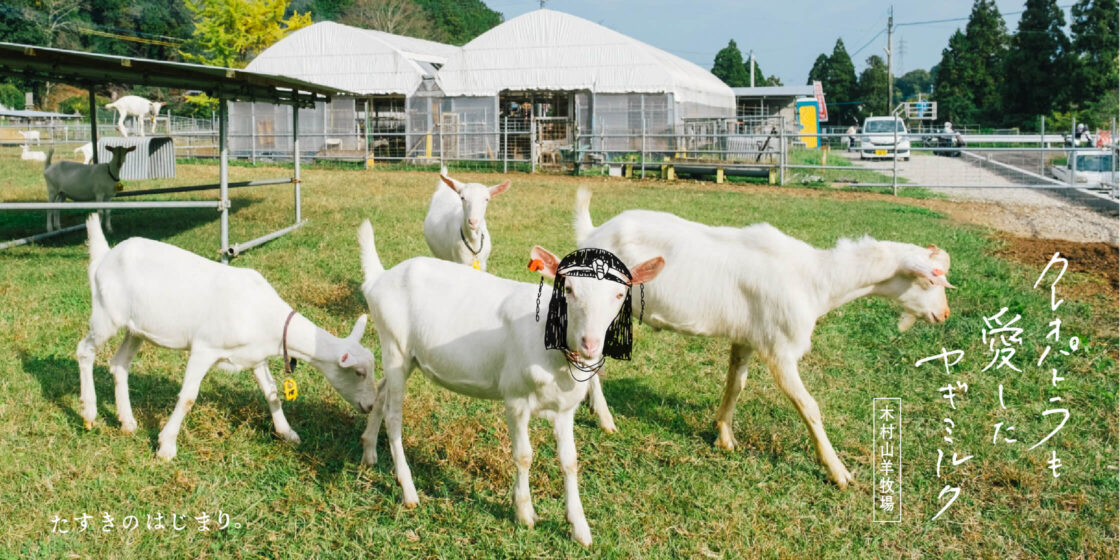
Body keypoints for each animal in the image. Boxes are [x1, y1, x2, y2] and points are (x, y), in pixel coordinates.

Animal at [77, 213, 380, 459]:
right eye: (359, 373)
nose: (370, 405)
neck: (263, 312)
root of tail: (105, 255)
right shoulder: (205, 348)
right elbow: (188, 397)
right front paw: (166, 446)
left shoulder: (255, 356)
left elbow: (271, 392)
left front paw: (287, 433)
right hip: (106, 314)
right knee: (85, 350)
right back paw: (89, 413)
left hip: (135, 329)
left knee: (119, 365)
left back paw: (127, 423)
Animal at [353, 219, 658, 546]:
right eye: (569, 289)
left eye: (620, 295)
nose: (590, 343)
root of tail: (378, 279)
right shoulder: (515, 398)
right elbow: (523, 456)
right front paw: (525, 513)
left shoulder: (565, 408)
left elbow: (570, 460)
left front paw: (579, 527)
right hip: (394, 343)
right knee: (394, 416)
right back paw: (408, 490)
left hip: (405, 357)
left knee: (381, 392)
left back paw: (368, 452)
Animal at [577, 188, 954, 486]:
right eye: (930, 280)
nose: (945, 314)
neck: (817, 279)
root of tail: (590, 233)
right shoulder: (780, 349)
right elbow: (809, 406)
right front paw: (838, 471)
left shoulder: (747, 337)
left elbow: (735, 385)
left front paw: (724, 436)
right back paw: (606, 419)